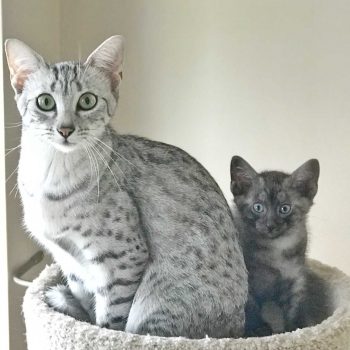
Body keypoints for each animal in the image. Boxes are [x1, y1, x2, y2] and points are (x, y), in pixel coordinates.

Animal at [4, 36, 247, 340]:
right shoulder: (71, 263)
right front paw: (81, 319)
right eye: (45, 102)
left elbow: (111, 317)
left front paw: (100, 334)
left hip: (157, 301)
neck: (51, 177)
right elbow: (87, 307)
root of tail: (239, 331)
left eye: (87, 101)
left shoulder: (121, 260)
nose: (65, 130)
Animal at [230, 157, 330, 336]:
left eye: (284, 209)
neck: (275, 248)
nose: (270, 225)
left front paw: (295, 330)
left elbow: (294, 308)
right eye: (258, 207)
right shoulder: (248, 279)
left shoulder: (294, 277)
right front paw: (259, 330)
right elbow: (252, 306)